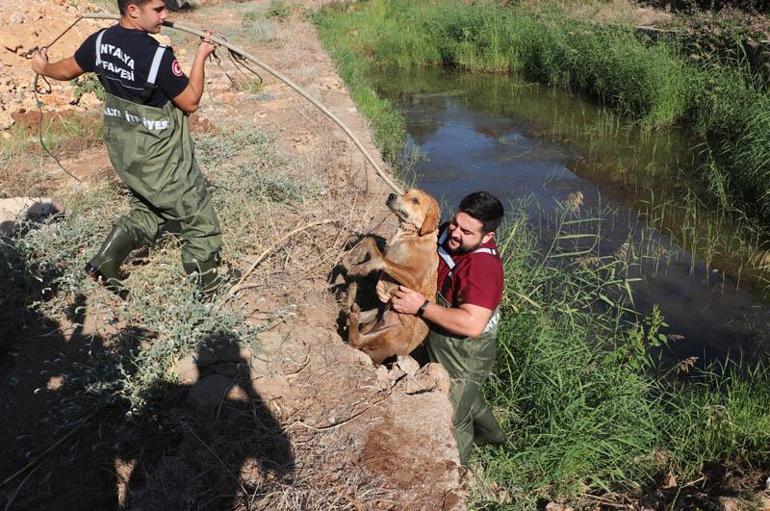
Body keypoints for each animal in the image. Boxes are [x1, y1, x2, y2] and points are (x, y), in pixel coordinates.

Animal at [344, 190, 438, 366]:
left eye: (415, 200)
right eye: (406, 192)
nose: (392, 195)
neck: (412, 236)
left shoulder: (415, 278)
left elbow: (380, 260)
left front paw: (361, 267)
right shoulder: (387, 252)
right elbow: (371, 241)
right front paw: (358, 251)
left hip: (394, 332)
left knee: (356, 341)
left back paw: (352, 318)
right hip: (377, 315)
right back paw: (352, 309)